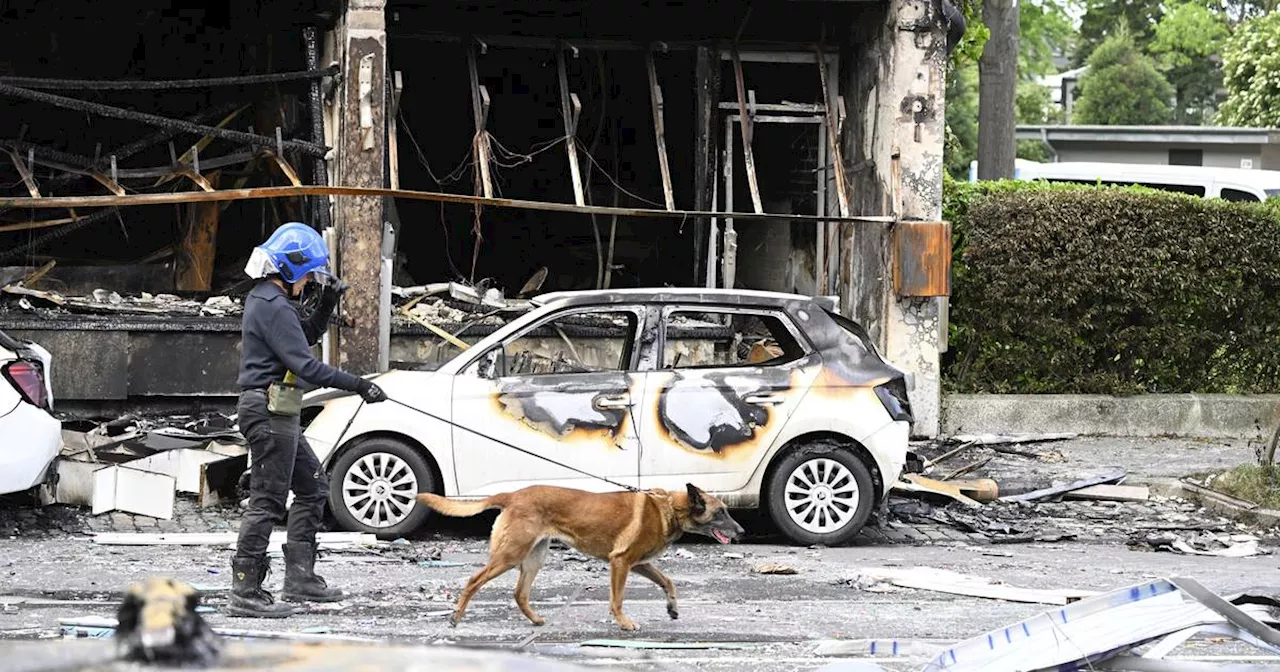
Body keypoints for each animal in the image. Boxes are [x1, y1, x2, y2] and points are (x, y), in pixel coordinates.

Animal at [414, 481, 747, 629]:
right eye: (721, 512)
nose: (742, 531)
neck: (669, 508)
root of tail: (513, 495)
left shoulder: (639, 564)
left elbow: (668, 582)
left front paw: (672, 609)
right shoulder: (621, 563)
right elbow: (617, 599)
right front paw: (624, 623)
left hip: (534, 559)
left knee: (520, 594)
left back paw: (536, 620)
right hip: (509, 556)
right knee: (473, 580)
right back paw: (456, 616)